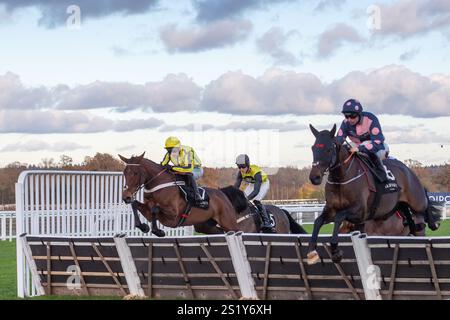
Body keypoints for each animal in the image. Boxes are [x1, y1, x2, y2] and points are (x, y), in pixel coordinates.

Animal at [118, 152, 248, 238]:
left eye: (135, 173)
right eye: (125, 173)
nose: (126, 196)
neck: (158, 184)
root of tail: (222, 194)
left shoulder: (173, 215)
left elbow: (155, 208)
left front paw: (158, 231)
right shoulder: (148, 212)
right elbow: (136, 205)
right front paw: (143, 226)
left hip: (228, 222)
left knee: (238, 232)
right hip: (205, 226)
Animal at [304, 125, 442, 264]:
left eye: (328, 149)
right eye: (313, 148)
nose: (314, 177)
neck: (341, 179)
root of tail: (407, 168)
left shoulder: (359, 211)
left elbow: (339, 217)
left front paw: (335, 251)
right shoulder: (332, 210)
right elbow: (318, 221)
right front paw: (311, 252)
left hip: (416, 200)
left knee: (425, 201)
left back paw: (433, 223)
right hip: (398, 205)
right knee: (407, 214)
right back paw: (414, 225)